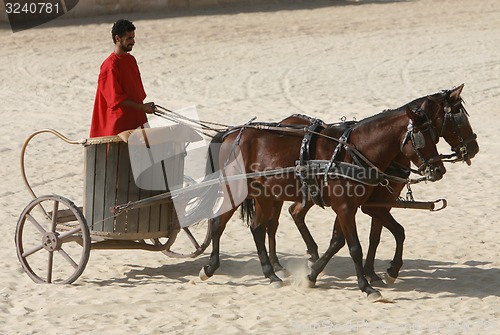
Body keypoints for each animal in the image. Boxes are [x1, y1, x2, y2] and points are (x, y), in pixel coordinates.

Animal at [199, 100, 446, 302]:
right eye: (421, 138)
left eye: (435, 134)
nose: (439, 170)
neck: (353, 153)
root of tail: (231, 135)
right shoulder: (347, 208)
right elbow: (354, 247)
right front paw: (366, 287)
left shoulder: (349, 207)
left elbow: (339, 241)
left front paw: (311, 276)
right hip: (235, 190)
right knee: (219, 224)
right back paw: (210, 267)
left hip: (265, 196)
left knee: (258, 228)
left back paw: (271, 274)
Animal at [268, 85, 478, 284]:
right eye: (459, 118)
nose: (474, 148)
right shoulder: (368, 205)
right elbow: (387, 233)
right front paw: (386, 271)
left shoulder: (374, 204)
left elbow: (373, 237)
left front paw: (371, 273)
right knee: (273, 223)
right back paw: (277, 266)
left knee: (294, 212)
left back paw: (308, 256)